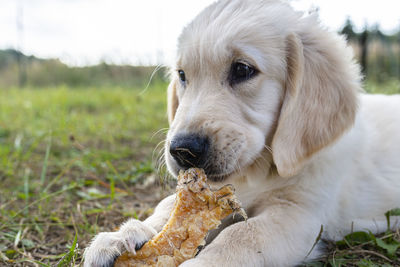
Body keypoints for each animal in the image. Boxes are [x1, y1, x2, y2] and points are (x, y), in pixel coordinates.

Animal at [84, 0, 400, 267]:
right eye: (182, 75)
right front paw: (124, 235)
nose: (182, 150)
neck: (257, 172)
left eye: (243, 69)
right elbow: (168, 207)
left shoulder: (299, 214)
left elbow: (243, 235)